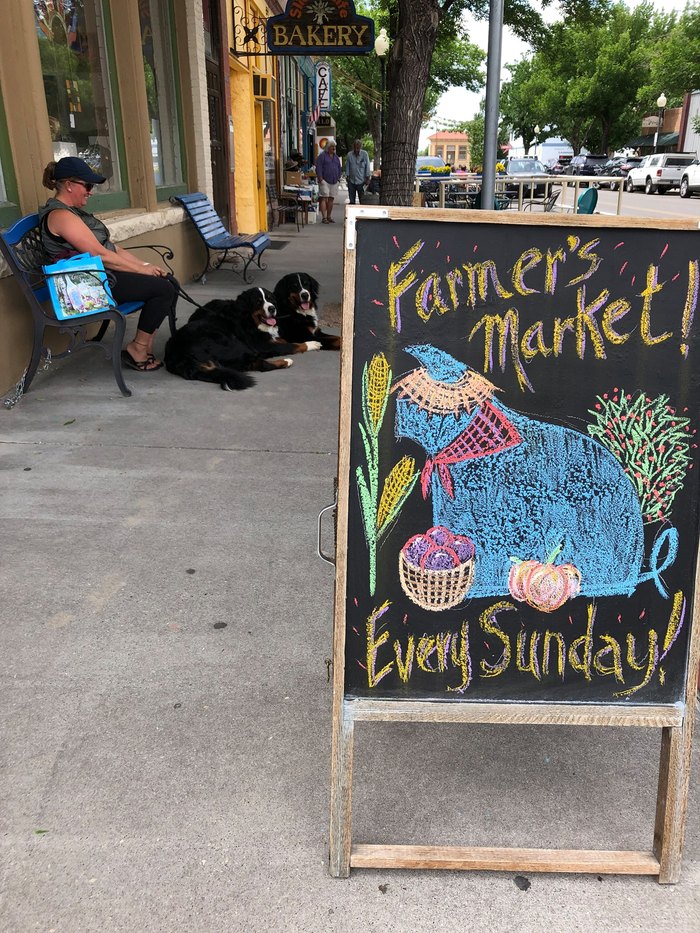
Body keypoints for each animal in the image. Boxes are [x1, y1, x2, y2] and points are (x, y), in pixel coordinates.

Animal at [164, 282, 320, 388]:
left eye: (271, 299)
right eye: (258, 302)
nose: (272, 308)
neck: (248, 319)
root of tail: (176, 353)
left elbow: (282, 340)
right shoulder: (261, 345)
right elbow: (291, 345)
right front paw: (311, 344)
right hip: (231, 344)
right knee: (259, 364)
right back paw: (286, 361)